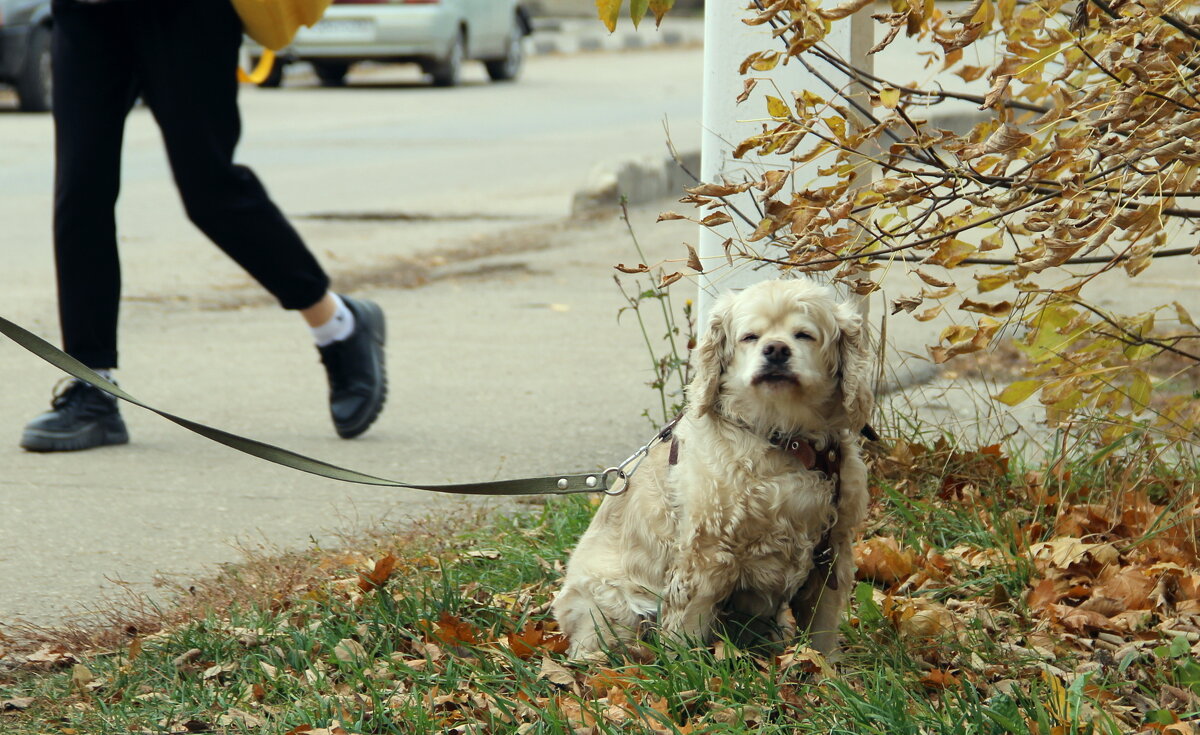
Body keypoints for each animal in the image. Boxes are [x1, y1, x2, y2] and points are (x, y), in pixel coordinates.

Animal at [552, 278, 873, 658]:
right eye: (750, 337)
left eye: (803, 334)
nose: (776, 350)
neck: (782, 440)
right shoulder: (705, 555)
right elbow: (687, 629)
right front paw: (688, 668)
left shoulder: (831, 553)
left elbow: (823, 629)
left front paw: (828, 669)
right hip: (614, 601)